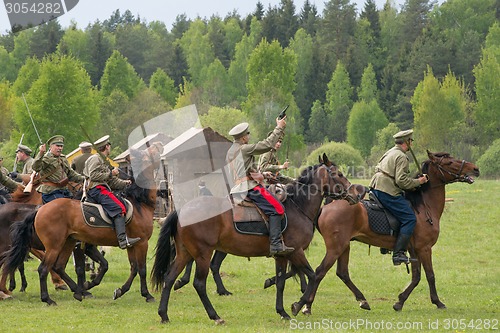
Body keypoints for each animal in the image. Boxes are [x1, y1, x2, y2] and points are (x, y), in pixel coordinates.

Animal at [0, 144, 160, 304]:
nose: (158, 146)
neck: (140, 203)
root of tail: (40, 211)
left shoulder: (131, 244)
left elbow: (131, 268)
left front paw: (118, 290)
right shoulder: (141, 243)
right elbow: (141, 269)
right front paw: (147, 294)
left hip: (65, 243)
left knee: (55, 266)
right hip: (53, 246)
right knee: (42, 268)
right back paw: (45, 298)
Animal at [149, 157, 356, 322]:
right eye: (338, 173)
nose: (354, 194)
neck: (297, 205)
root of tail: (182, 209)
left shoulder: (282, 256)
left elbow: (281, 282)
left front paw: (282, 311)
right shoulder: (296, 252)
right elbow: (312, 276)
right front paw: (298, 306)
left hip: (185, 253)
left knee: (169, 278)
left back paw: (164, 314)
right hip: (202, 254)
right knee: (199, 284)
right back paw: (215, 316)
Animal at [292, 150, 482, 314]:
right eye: (449, 162)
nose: (475, 168)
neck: (424, 207)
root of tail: (327, 205)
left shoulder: (414, 250)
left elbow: (416, 277)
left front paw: (400, 301)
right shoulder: (424, 249)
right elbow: (430, 275)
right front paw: (437, 302)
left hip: (344, 246)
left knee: (342, 273)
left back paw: (361, 300)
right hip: (336, 247)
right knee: (319, 272)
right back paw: (305, 305)